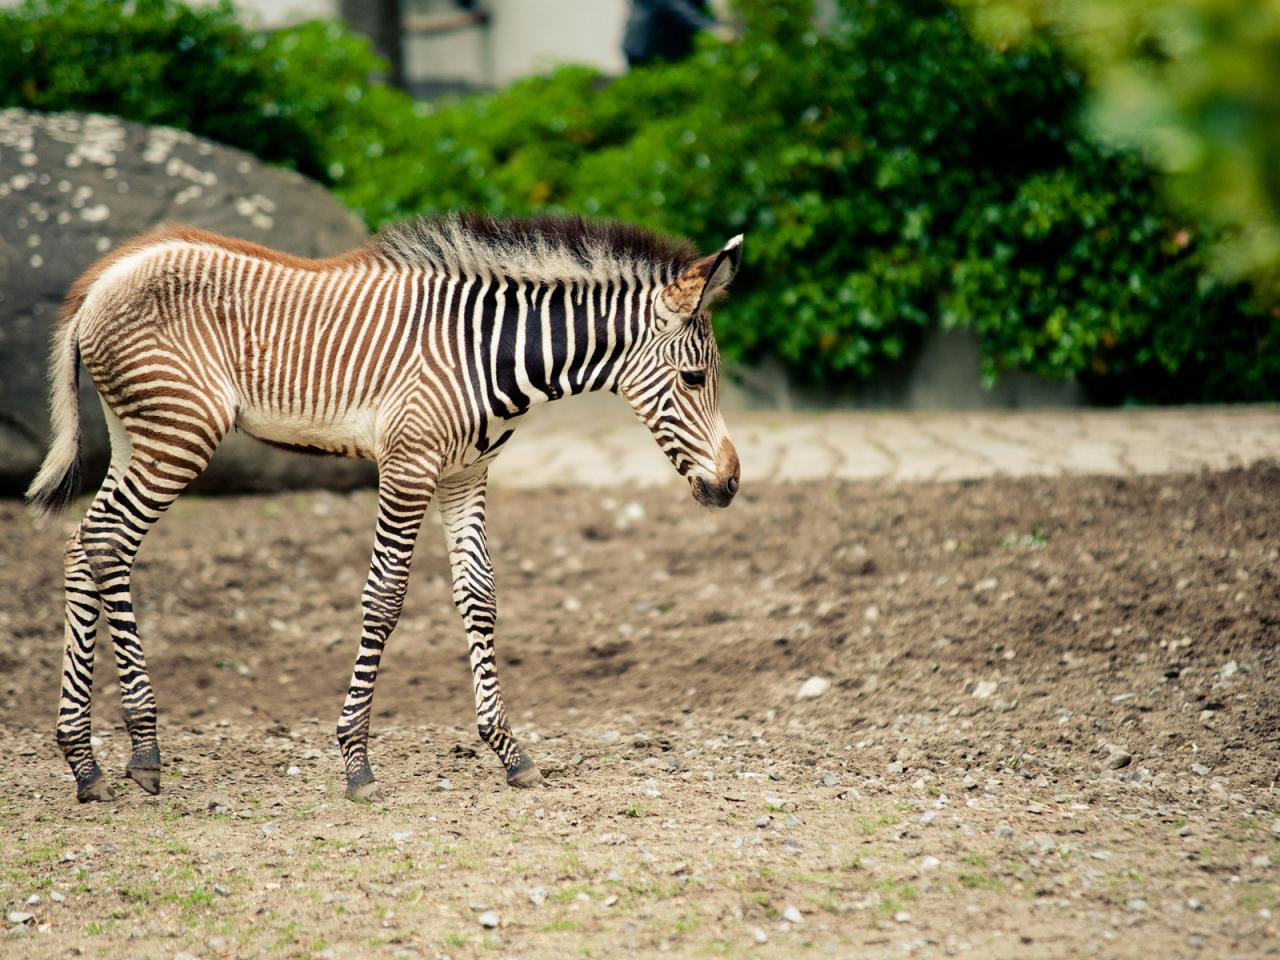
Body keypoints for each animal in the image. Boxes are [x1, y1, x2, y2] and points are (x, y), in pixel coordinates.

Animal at [24, 213, 747, 808]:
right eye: (693, 379)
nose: (731, 485)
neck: (491, 354)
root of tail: (103, 278)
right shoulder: (408, 465)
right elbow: (385, 597)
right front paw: (356, 760)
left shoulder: (465, 474)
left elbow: (480, 596)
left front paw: (508, 751)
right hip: (178, 431)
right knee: (109, 542)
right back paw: (143, 751)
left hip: (136, 433)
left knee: (85, 545)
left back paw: (85, 763)